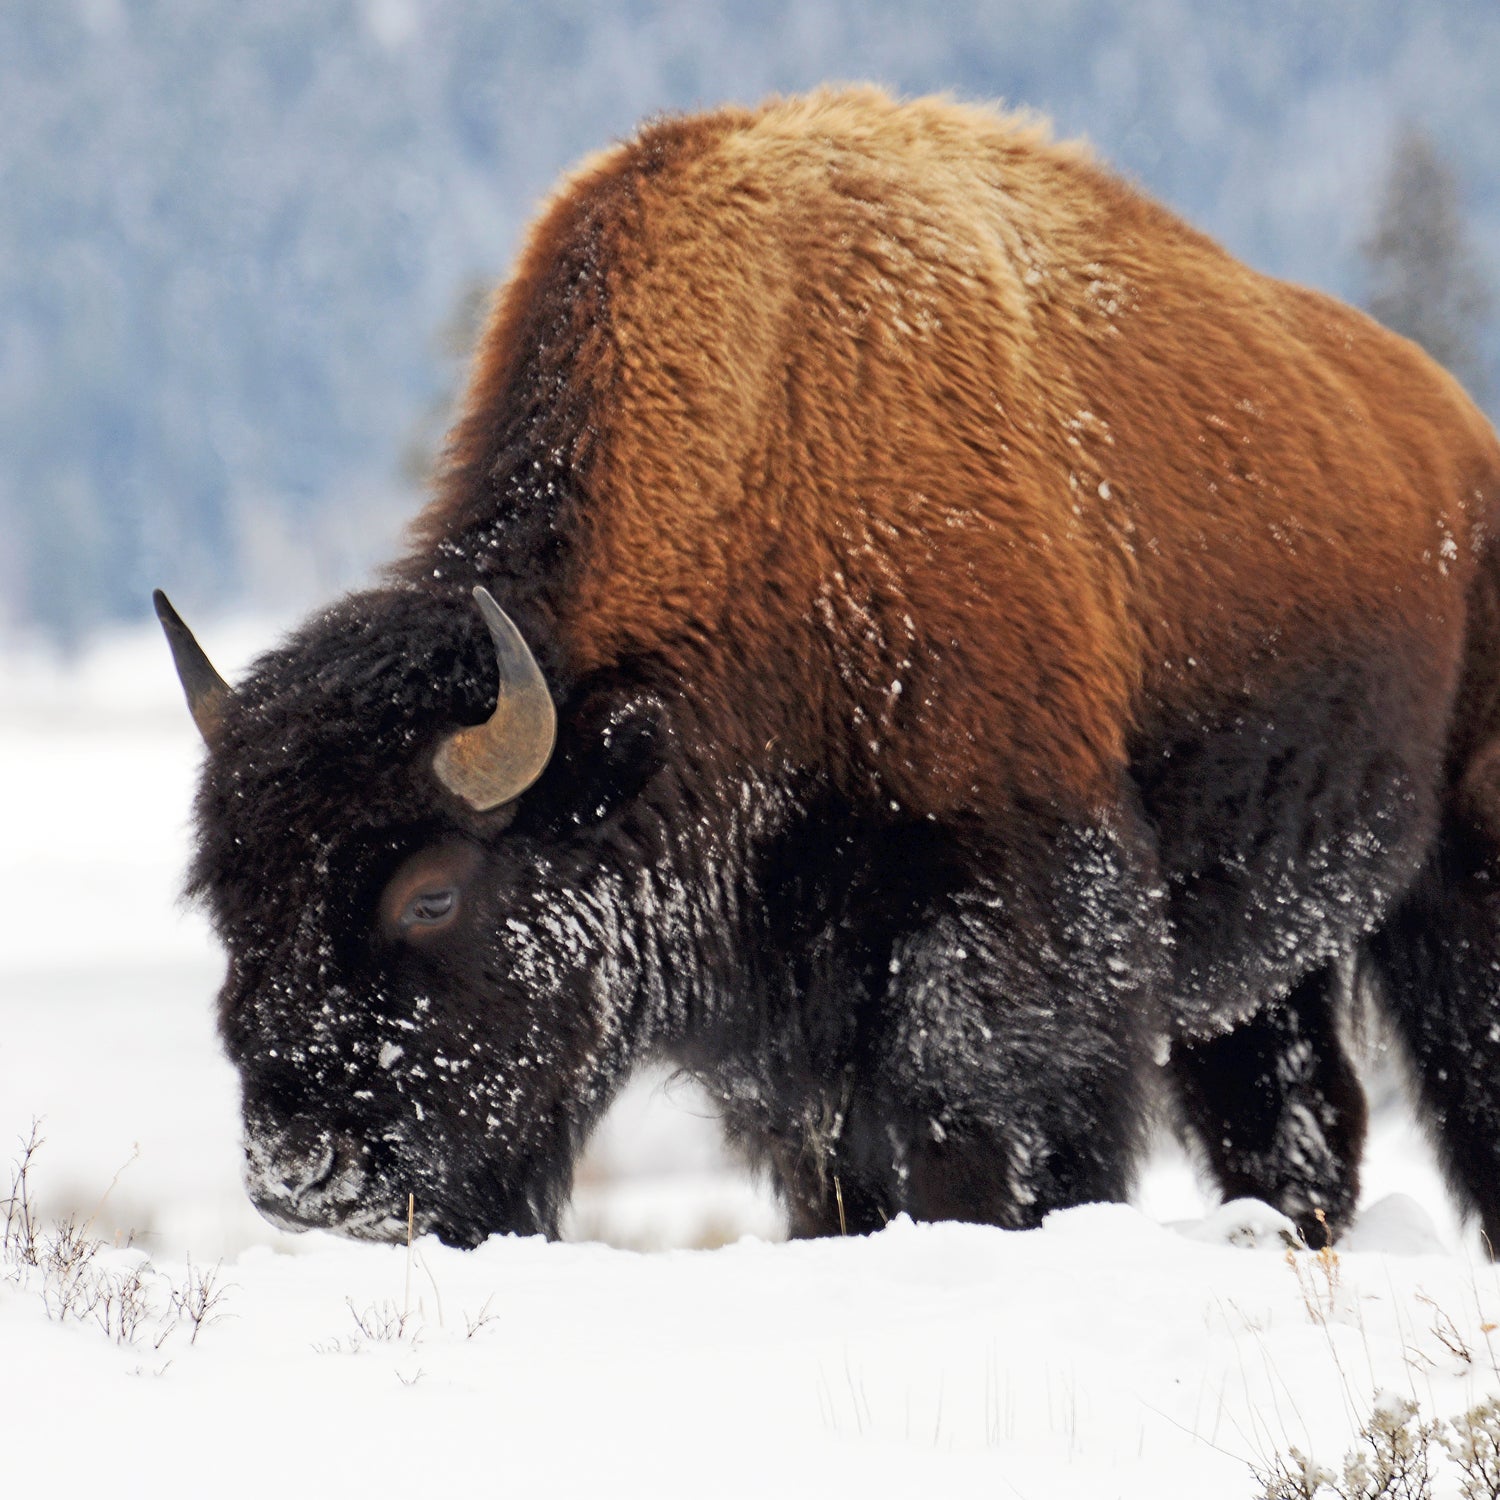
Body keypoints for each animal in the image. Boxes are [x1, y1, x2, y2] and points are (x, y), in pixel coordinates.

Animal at [155, 87, 1500, 1248]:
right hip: (1264, 961)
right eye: (228, 899)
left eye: (431, 894)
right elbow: (837, 1180)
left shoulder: (1011, 916)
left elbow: (982, 1143)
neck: (771, 473)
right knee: (1292, 1118)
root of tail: (1459, 440)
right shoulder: (795, 1043)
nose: (300, 1173)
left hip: (1454, 886)